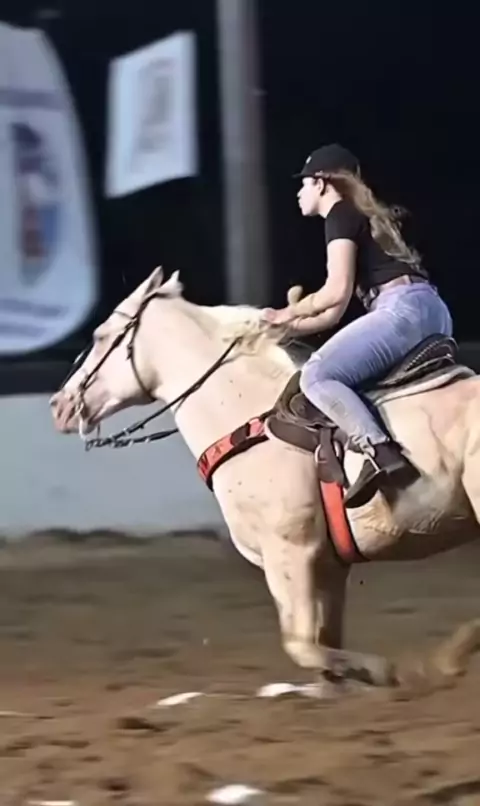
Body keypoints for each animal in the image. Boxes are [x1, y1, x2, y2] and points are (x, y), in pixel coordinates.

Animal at [49, 267, 480, 694]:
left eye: (100, 336)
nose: (59, 405)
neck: (247, 420)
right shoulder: (329, 565)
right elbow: (324, 648)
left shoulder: (290, 552)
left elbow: (301, 644)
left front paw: (383, 671)